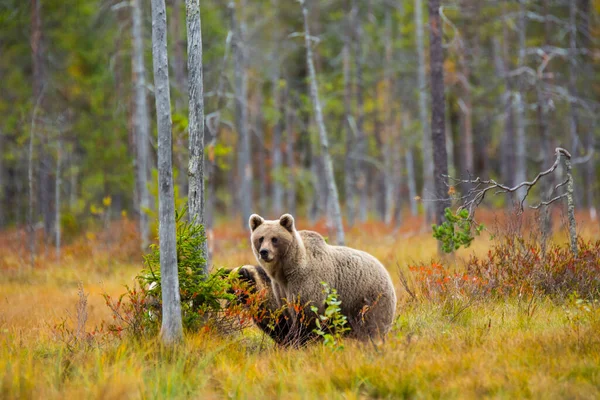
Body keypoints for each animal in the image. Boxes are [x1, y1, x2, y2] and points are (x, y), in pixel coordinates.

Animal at [248, 214, 398, 342]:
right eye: (261, 238)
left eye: (274, 238)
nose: (264, 252)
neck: (287, 270)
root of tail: (384, 270)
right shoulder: (280, 288)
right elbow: (285, 313)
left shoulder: (307, 281)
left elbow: (307, 313)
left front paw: (301, 338)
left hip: (368, 297)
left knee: (372, 325)